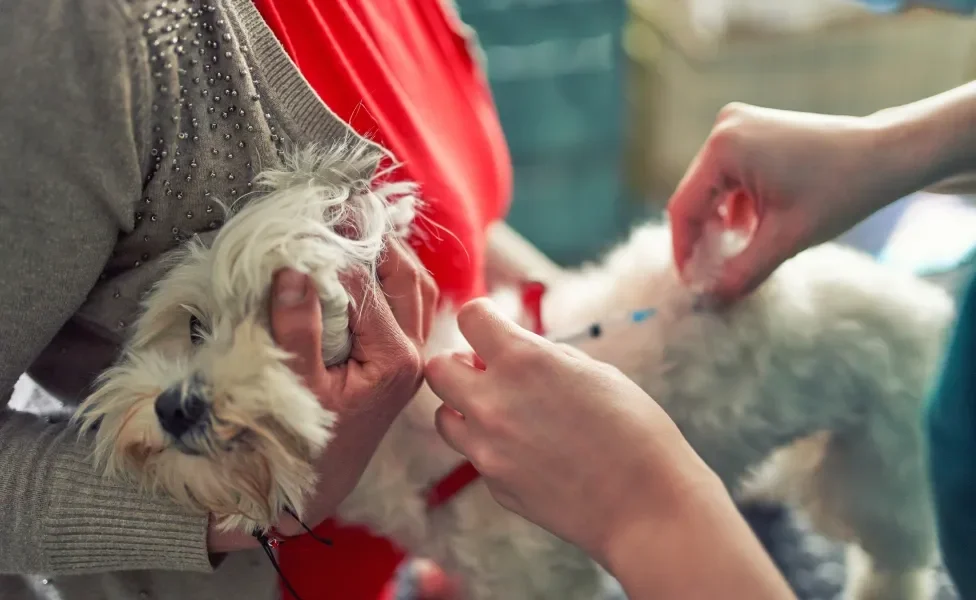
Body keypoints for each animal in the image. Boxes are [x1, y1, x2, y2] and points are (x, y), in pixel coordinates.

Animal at [74, 144, 952, 600]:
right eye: (193, 325)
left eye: (295, 333)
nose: (179, 407)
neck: (413, 444)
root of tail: (927, 300)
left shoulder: (551, 582)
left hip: (882, 472)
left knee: (898, 558)